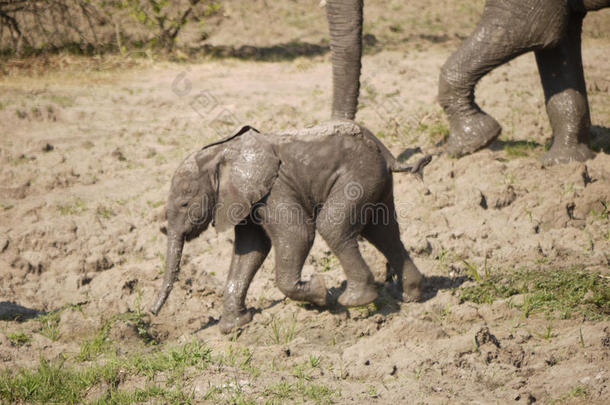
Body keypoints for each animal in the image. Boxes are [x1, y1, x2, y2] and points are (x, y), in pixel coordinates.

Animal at [150, 121, 430, 332]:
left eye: (185, 204)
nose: (152, 312)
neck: (221, 153)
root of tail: (382, 147)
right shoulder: (246, 200)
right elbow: (250, 250)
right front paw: (235, 326)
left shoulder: (275, 189)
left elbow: (297, 235)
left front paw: (320, 293)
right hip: (374, 180)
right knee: (382, 232)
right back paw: (409, 295)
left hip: (358, 175)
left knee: (333, 225)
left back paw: (354, 300)